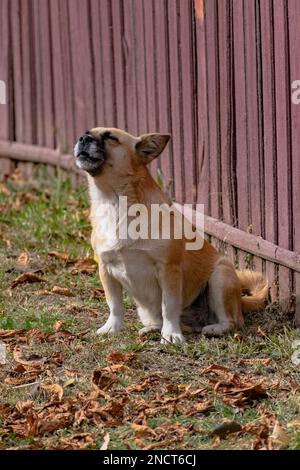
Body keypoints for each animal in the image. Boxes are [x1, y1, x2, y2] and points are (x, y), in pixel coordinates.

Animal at [74, 126, 268, 344]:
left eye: (111, 137)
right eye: (86, 133)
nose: (83, 138)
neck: (114, 202)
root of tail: (241, 302)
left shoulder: (169, 270)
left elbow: (169, 306)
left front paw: (171, 334)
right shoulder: (105, 269)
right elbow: (114, 305)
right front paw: (112, 328)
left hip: (220, 277)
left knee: (232, 321)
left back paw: (213, 329)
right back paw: (152, 329)